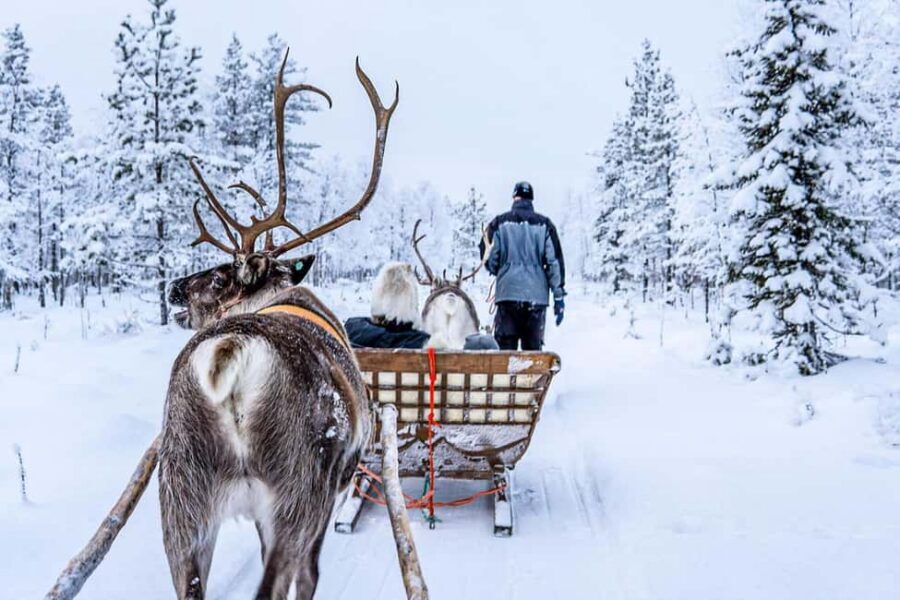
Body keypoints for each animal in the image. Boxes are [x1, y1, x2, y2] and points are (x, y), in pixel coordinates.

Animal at [159, 50, 398, 600]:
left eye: (219, 274)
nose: (173, 287)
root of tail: (230, 351)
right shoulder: (332, 487)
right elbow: (309, 575)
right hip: (298, 489)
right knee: (288, 577)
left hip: (181, 499)